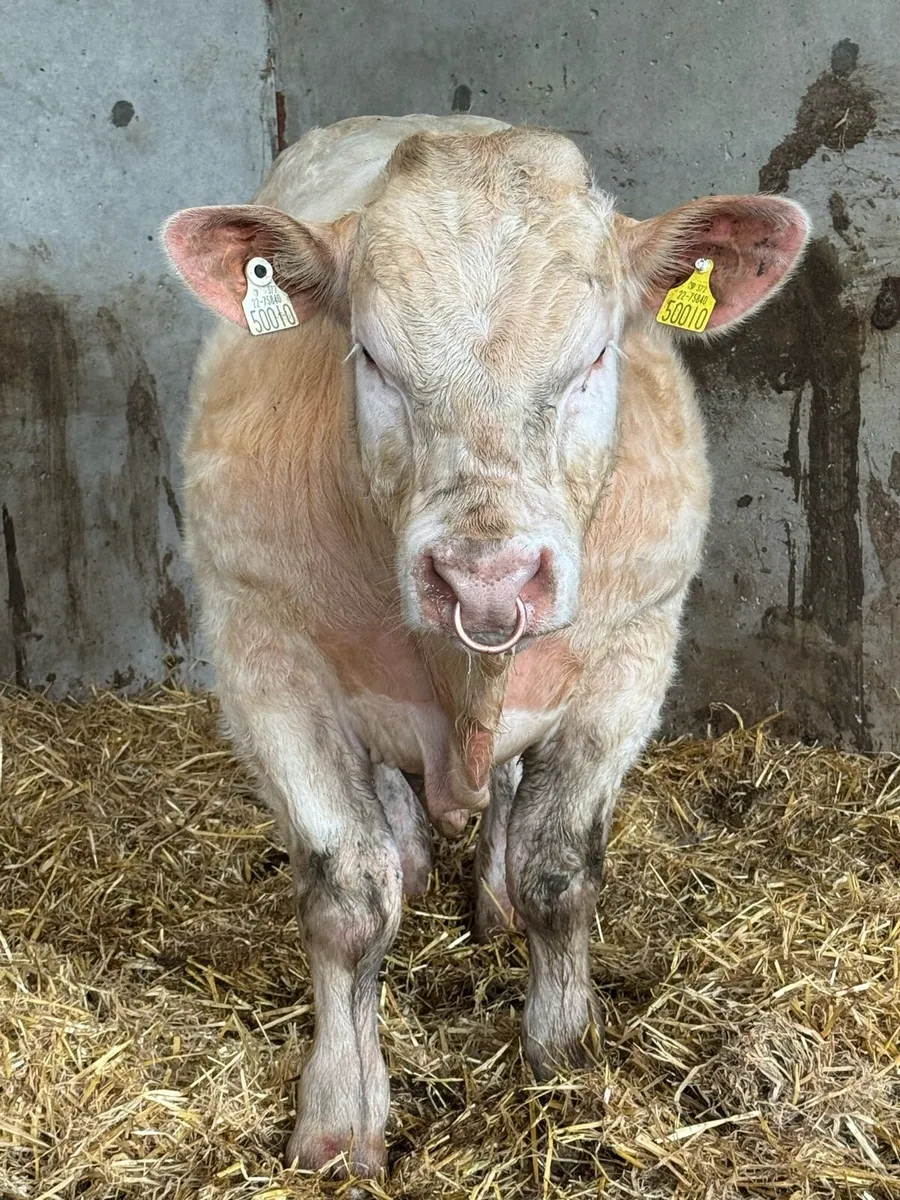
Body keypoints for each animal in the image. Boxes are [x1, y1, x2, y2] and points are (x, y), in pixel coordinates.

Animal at [162, 114, 810, 1175]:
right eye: (371, 357)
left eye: (596, 355)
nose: (486, 578)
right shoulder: (262, 649)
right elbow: (347, 897)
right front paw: (340, 1117)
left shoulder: (633, 654)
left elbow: (561, 870)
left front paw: (564, 1054)